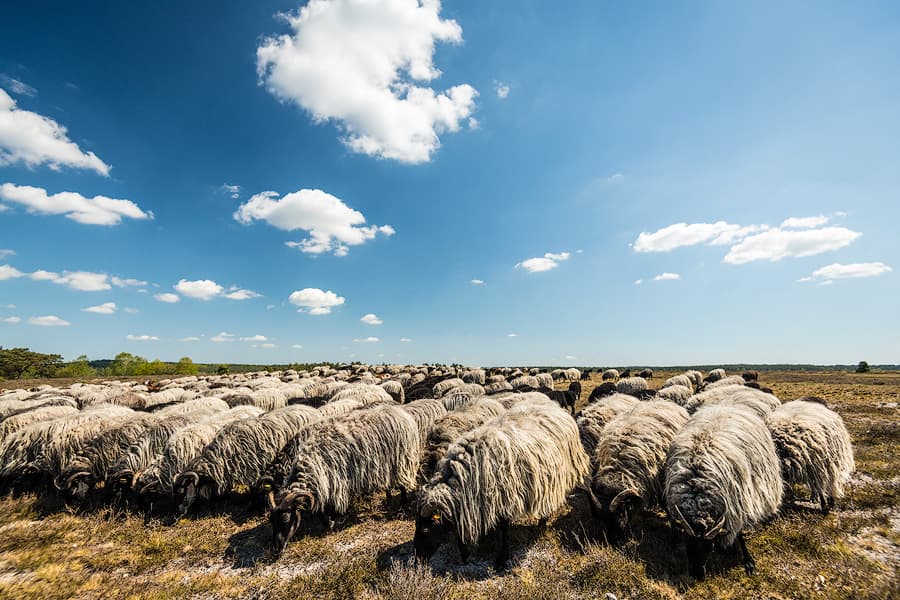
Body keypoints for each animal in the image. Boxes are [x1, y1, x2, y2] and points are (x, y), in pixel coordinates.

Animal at [173, 406, 324, 512]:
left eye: (182, 492)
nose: (179, 513)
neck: (221, 457)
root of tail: (313, 410)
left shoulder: (253, 470)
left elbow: (254, 490)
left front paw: (253, 507)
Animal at [268, 406, 422, 556]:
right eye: (271, 521)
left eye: (286, 519)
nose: (276, 550)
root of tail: (402, 413)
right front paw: (328, 521)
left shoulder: (334, 482)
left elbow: (323, 507)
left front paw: (331, 521)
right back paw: (389, 498)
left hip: (401, 459)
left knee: (402, 484)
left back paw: (402, 503)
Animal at [414, 396, 592, 568]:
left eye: (425, 530)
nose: (417, 560)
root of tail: (558, 409)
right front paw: (465, 553)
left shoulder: (503, 496)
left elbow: (504, 528)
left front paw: (502, 559)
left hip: (568, 468)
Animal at [588, 400, 684, 540]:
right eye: (603, 519)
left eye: (620, 514)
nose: (614, 541)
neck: (620, 468)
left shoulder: (661, 481)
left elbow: (666, 505)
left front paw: (675, 533)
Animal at [664, 406, 784, 580]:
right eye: (688, 544)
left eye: (710, 548)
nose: (697, 576)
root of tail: (726, 406)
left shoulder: (736, 505)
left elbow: (739, 533)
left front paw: (748, 561)